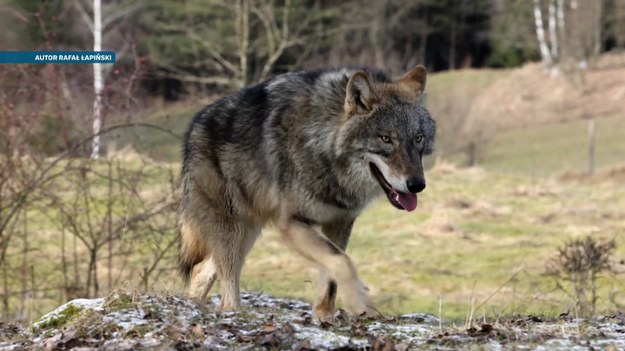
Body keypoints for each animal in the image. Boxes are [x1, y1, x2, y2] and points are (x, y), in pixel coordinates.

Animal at [178, 65, 436, 322]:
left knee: (202, 270)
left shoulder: (340, 223)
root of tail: (193, 129)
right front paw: (359, 302)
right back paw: (232, 312)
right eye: (386, 138)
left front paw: (324, 316)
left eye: (418, 138)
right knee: (226, 288)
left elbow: (331, 275)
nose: (417, 185)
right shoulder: (292, 224)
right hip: (233, 229)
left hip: (248, 231)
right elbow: (342, 262)